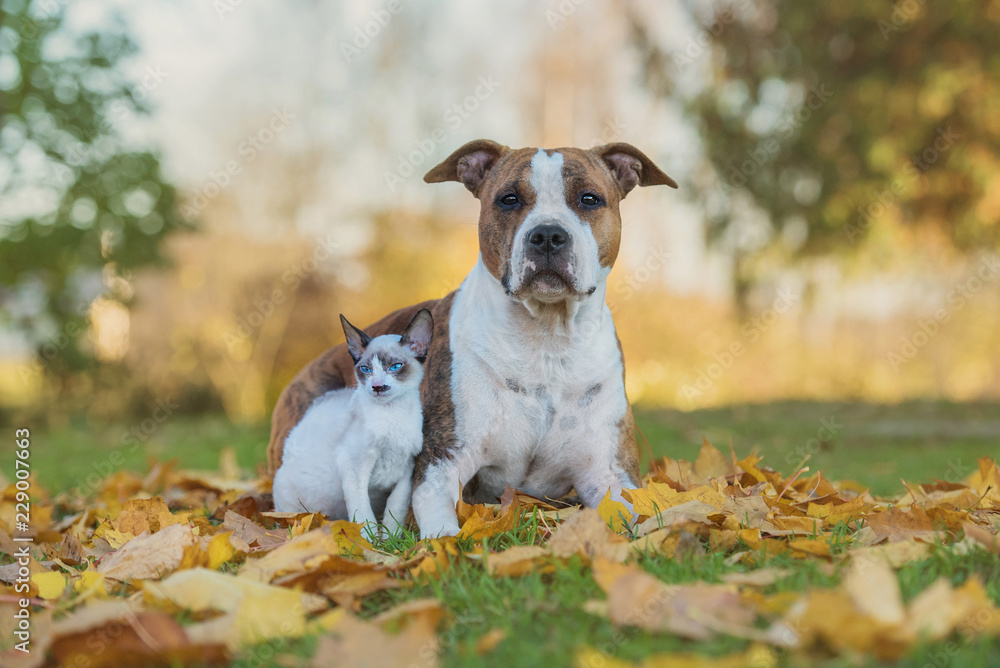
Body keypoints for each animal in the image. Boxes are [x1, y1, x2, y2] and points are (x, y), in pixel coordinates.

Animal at [272, 310, 432, 536]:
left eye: (395, 367)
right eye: (365, 369)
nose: (377, 387)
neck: (392, 415)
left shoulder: (407, 470)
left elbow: (395, 510)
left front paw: (390, 540)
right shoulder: (354, 467)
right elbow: (364, 516)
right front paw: (370, 543)